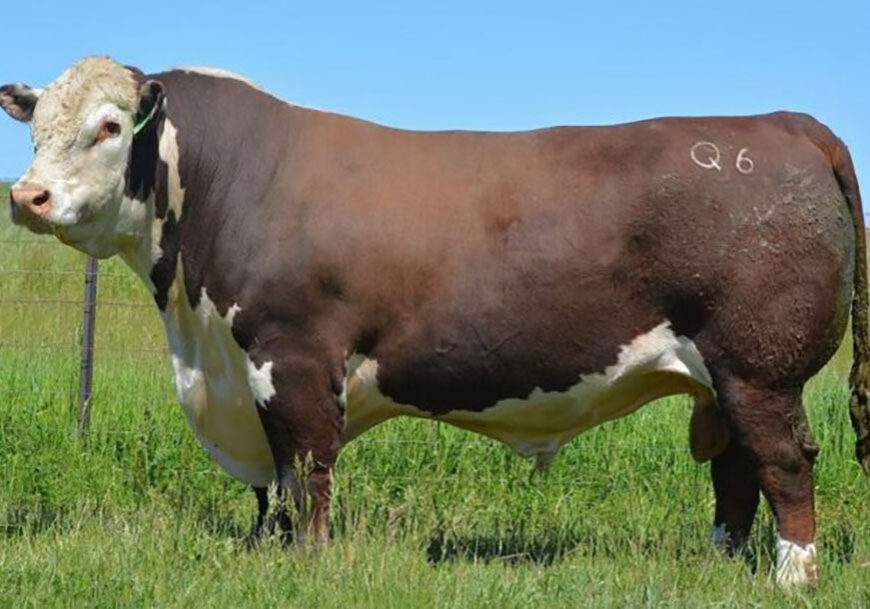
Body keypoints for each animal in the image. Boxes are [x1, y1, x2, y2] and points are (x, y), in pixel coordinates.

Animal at [2, 56, 867, 586]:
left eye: (110, 126)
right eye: (37, 126)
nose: (27, 196)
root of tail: (781, 122)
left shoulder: (293, 356)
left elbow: (304, 468)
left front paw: (307, 561)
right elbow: (275, 481)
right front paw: (272, 552)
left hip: (758, 367)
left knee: (783, 461)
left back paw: (793, 574)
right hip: (724, 379)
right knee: (736, 470)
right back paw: (717, 564)